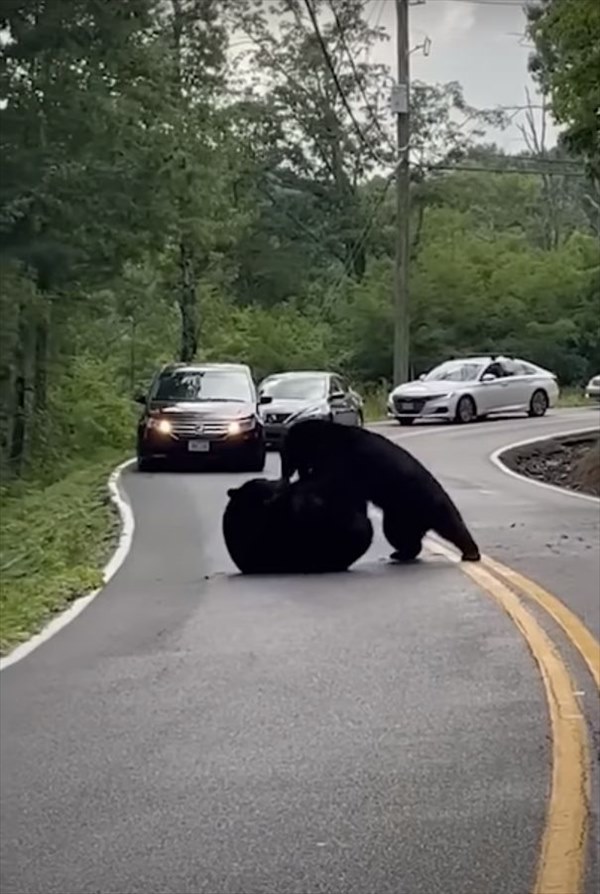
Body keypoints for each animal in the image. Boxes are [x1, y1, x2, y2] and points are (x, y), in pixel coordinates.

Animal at [278, 418, 480, 560]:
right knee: (399, 533)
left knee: (450, 523)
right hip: (400, 514)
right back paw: (402, 553)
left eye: (286, 452)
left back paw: (470, 552)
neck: (323, 441)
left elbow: (330, 480)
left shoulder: (344, 461)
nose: (284, 473)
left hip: (423, 499)